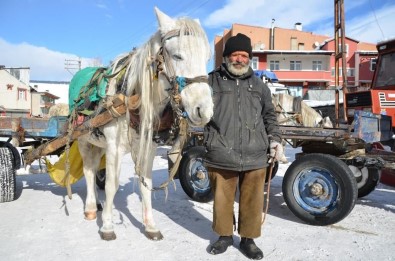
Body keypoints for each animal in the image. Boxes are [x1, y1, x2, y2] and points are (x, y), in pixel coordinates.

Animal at [74, 7, 213, 240]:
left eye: (207, 57)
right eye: (177, 55)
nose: (204, 110)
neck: (132, 98)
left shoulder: (148, 147)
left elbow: (145, 183)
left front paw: (150, 225)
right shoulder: (113, 147)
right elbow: (111, 184)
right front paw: (108, 226)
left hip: (98, 143)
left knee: (93, 168)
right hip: (84, 140)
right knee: (89, 171)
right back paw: (92, 207)